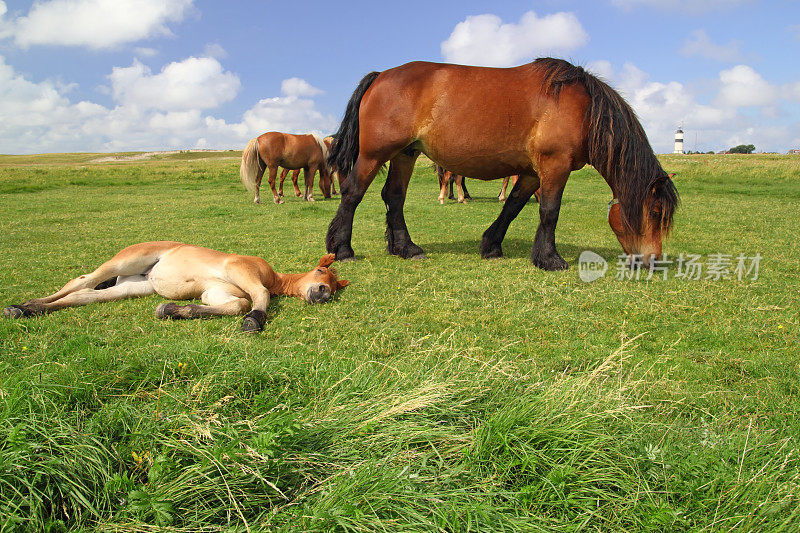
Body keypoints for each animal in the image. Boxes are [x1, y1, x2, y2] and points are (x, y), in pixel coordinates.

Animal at [3, 242, 348, 332]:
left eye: (335, 287)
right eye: (320, 271)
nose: (322, 292)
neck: (274, 276)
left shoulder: (217, 292)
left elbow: (234, 304)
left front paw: (172, 309)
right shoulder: (243, 269)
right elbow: (257, 298)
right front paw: (254, 321)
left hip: (133, 287)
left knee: (84, 295)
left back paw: (28, 309)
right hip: (124, 262)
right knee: (81, 281)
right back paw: (21, 306)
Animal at [328, 57, 680, 270]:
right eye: (656, 212)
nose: (654, 261)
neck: (583, 107)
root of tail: (380, 76)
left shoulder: (532, 172)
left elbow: (512, 206)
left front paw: (491, 246)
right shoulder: (555, 165)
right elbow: (550, 211)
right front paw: (550, 259)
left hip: (405, 154)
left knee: (394, 197)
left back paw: (406, 247)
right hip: (374, 155)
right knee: (352, 194)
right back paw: (342, 250)